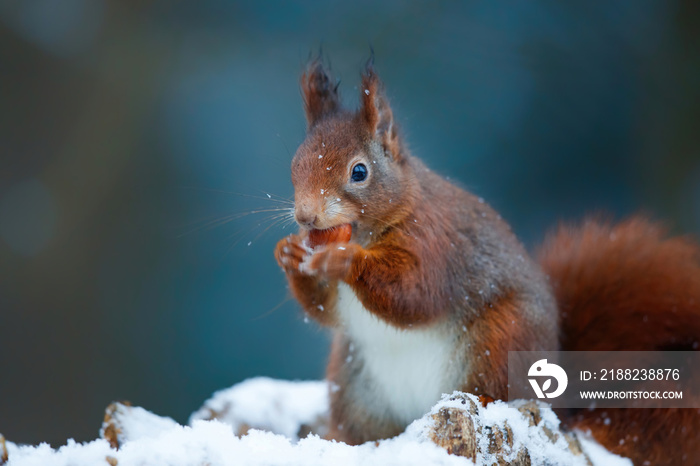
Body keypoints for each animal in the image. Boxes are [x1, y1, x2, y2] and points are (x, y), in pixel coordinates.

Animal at [272, 60, 700, 464]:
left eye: (359, 171)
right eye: (294, 164)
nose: (306, 217)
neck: (370, 231)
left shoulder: (436, 244)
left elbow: (414, 294)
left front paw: (343, 259)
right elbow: (326, 310)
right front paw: (289, 255)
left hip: (499, 342)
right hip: (354, 385)